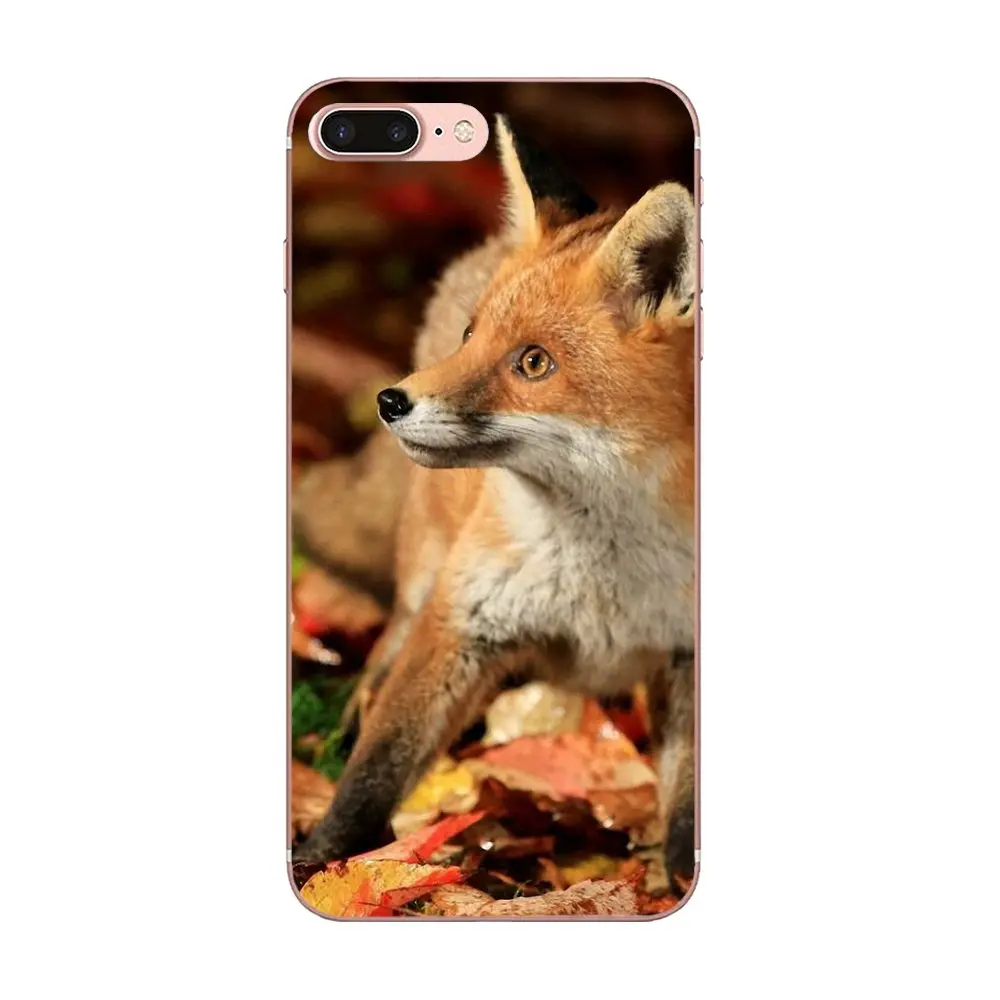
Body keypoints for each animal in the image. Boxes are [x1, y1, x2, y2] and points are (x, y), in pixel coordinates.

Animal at [296, 116, 697, 891]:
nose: (391, 401)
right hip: (423, 577)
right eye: (470, 335)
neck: (605, 574)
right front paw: (324, 861)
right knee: (380, 662)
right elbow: (377, 769)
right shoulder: (461, 622)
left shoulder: (687, 653)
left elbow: (689, 815)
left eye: (533, 362)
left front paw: (682, 881)